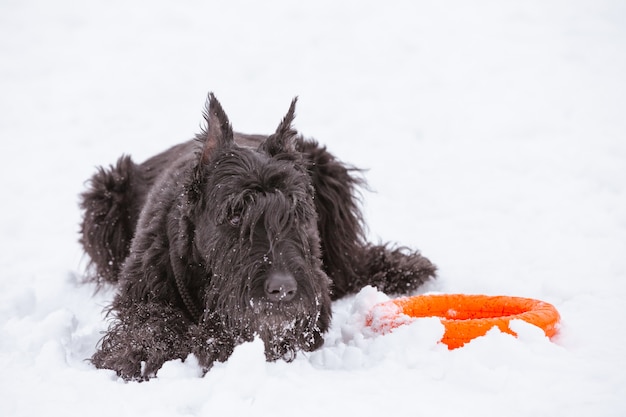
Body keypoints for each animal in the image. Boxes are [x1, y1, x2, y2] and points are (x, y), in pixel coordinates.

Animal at [79, 92, 434, 378]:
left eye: (297, 212)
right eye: (235, 214)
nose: (283, 289)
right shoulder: (140, 294)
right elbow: (150, 321)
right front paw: (139, 353)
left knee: (349, 264)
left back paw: (401, 268)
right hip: (105, 195)